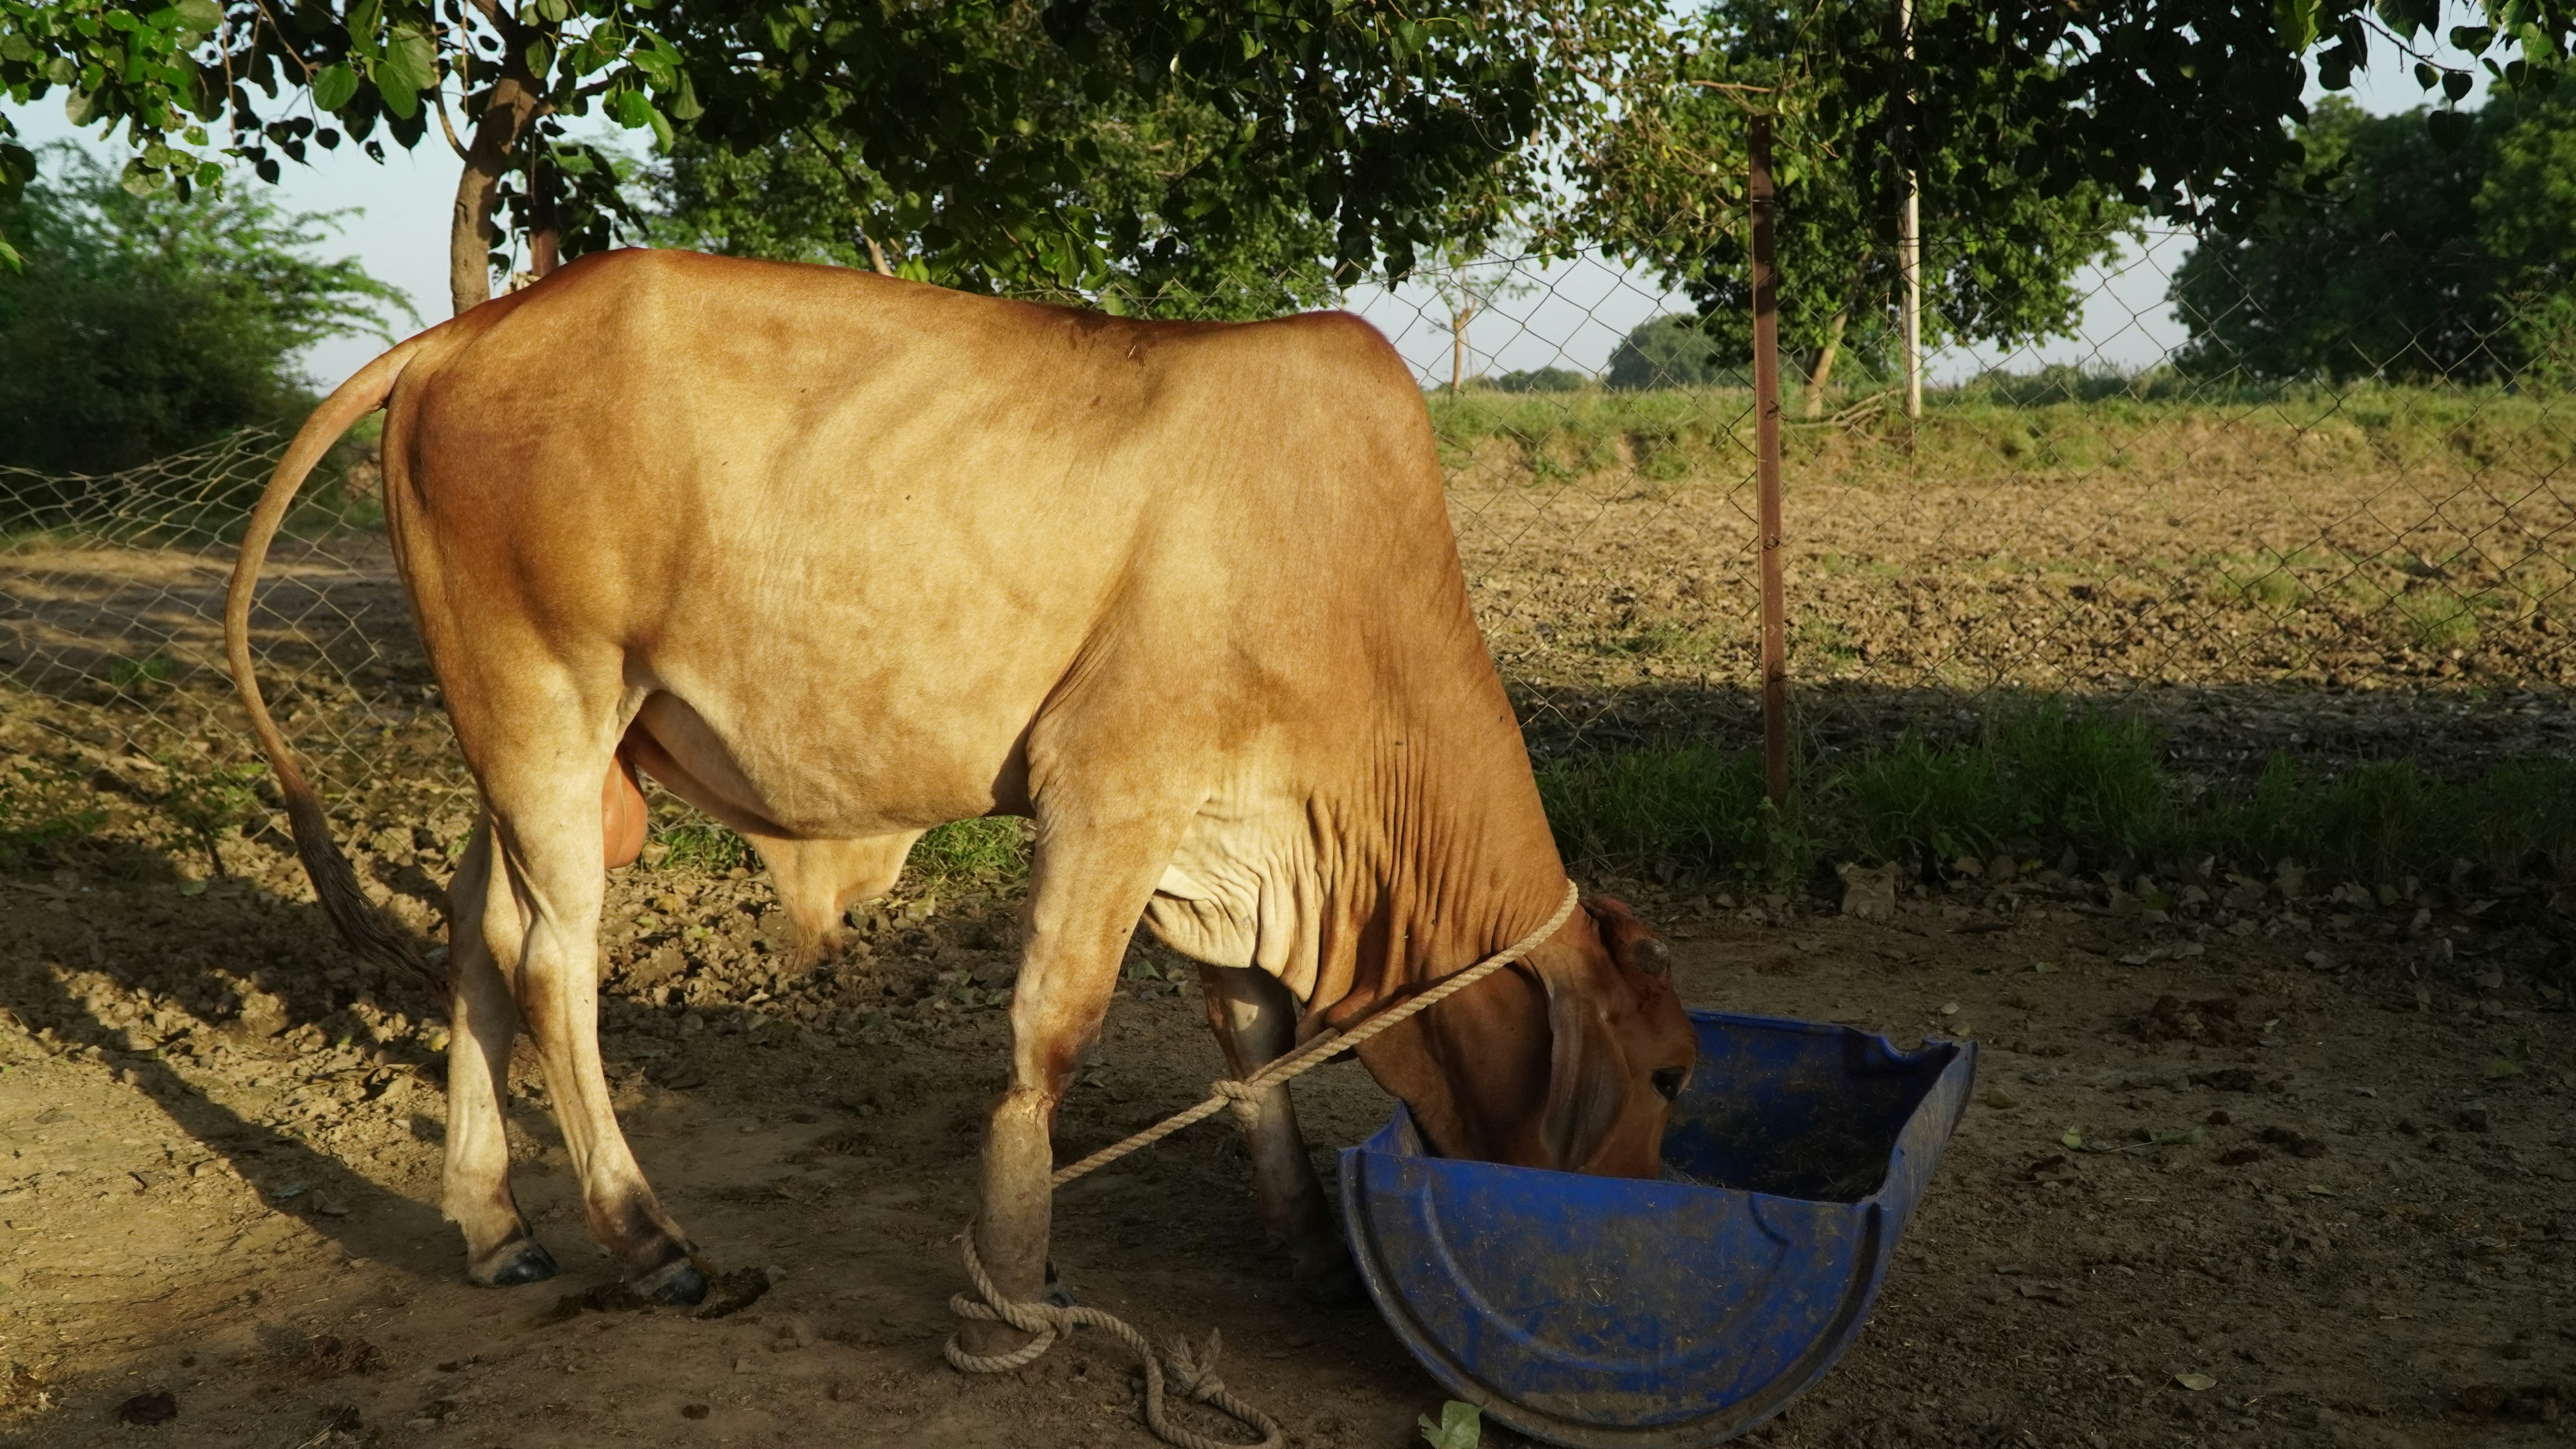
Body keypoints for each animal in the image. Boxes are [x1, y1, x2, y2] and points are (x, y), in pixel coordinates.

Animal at [224, 248, 1697, 1356]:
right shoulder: (1111, 787)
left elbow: (1252, 1040)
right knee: (548, 958)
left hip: (535, 745)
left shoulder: (1219, 828)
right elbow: (1055, 1034)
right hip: (543, 697)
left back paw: (494, 1225)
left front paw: (1305, 1243)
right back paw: (646, 1239)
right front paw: (1014, 1276)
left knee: (477, 931)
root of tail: (461, 334)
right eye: (1670, 1071)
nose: (1639, 1236)